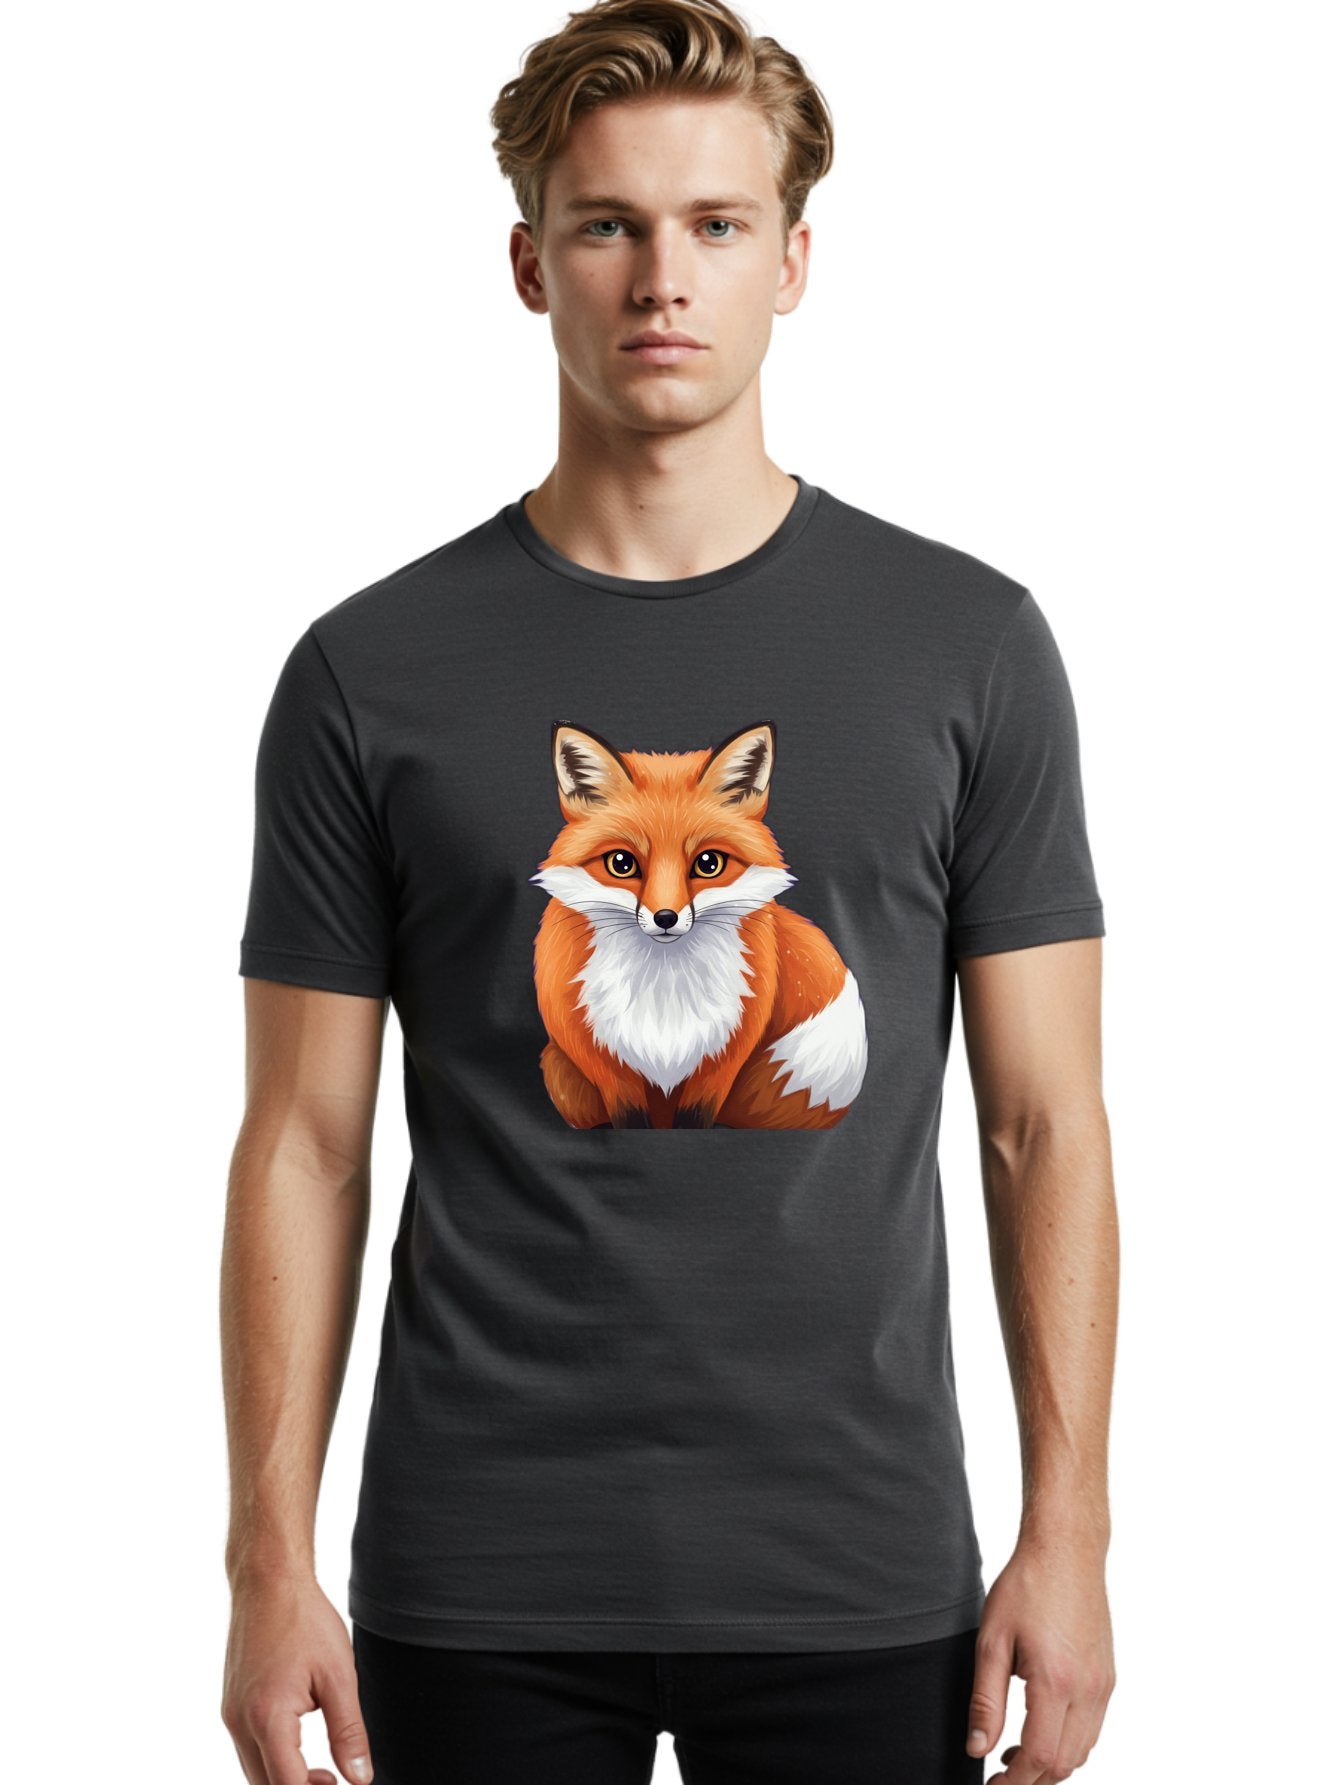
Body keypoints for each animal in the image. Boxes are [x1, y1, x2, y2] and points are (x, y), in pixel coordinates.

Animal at [529, 719, 868, 1129]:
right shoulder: (606, 1068)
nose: (665, 917)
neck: (663, 995)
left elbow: (696, 1118)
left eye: (708, 864)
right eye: (621, 864)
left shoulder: (721, 1064)